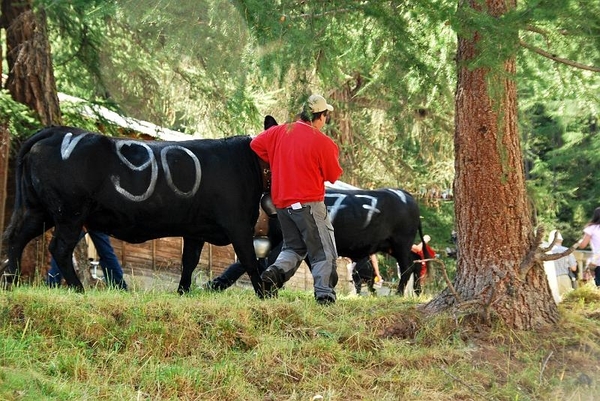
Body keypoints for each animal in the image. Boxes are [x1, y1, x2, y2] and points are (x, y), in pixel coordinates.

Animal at [4, 126, 272, 296]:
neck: (249, 162)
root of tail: (57, 131)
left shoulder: (195, 230)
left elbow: (189, 261)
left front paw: (183, 293)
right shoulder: (238, 225)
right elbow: (250, 261)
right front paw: (264, 295)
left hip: (39, 210)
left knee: (16, 238)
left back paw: (9, 282)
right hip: (70, 213)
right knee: (59, 248)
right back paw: (78, 289)